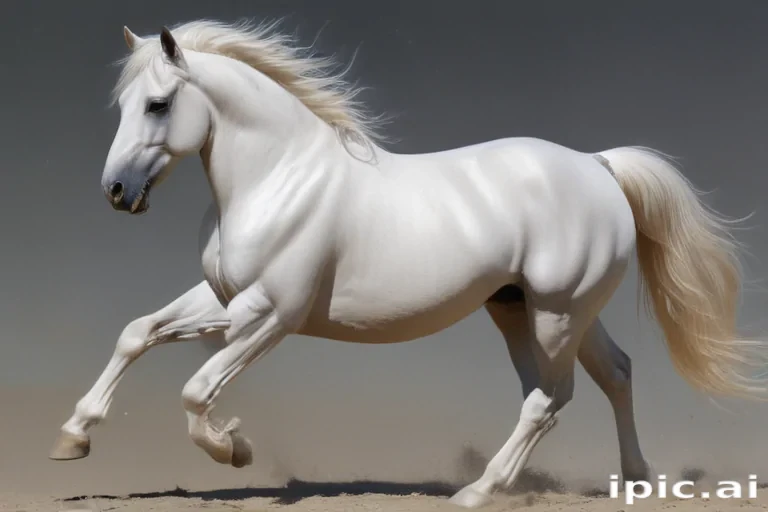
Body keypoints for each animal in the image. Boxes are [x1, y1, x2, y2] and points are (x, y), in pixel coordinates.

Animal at [49, 20, 768, 508]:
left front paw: (234, 448)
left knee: (550, 398)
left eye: (159, 104)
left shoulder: (271, 315)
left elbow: (197, 390)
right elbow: (137, 334)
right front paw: (73, 437)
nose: (117, 191)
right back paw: (637, 481)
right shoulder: (224, 299)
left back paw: (478, 492)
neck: (276, 178)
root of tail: (599, 166)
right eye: (123, 104)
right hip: (532, 310)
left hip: (557, 314)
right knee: (613, 374)